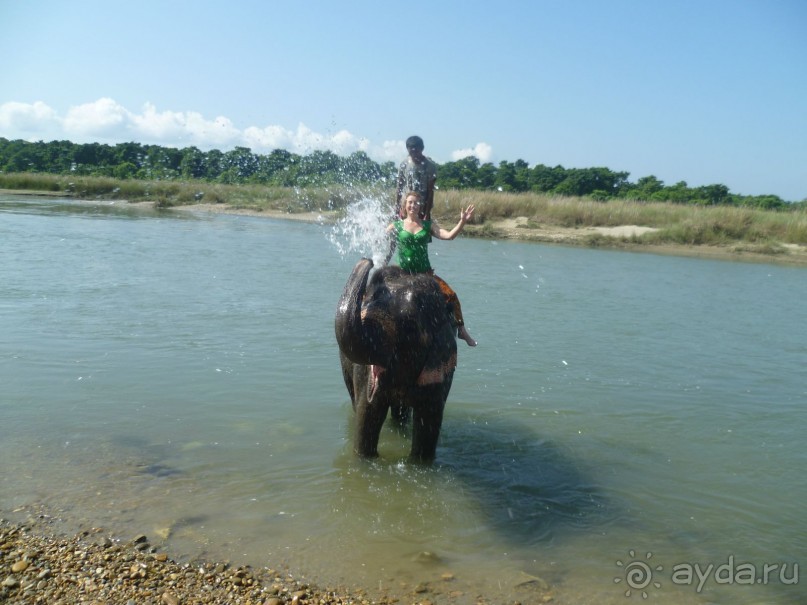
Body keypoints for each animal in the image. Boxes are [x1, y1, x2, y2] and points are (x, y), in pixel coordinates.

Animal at [332, 258, 458, 460]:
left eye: (410, 327)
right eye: (366, 306)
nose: (368, 261)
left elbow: (429, 420)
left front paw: (417, 463)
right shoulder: (365, 373)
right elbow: (367, 413)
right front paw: (364, 461)